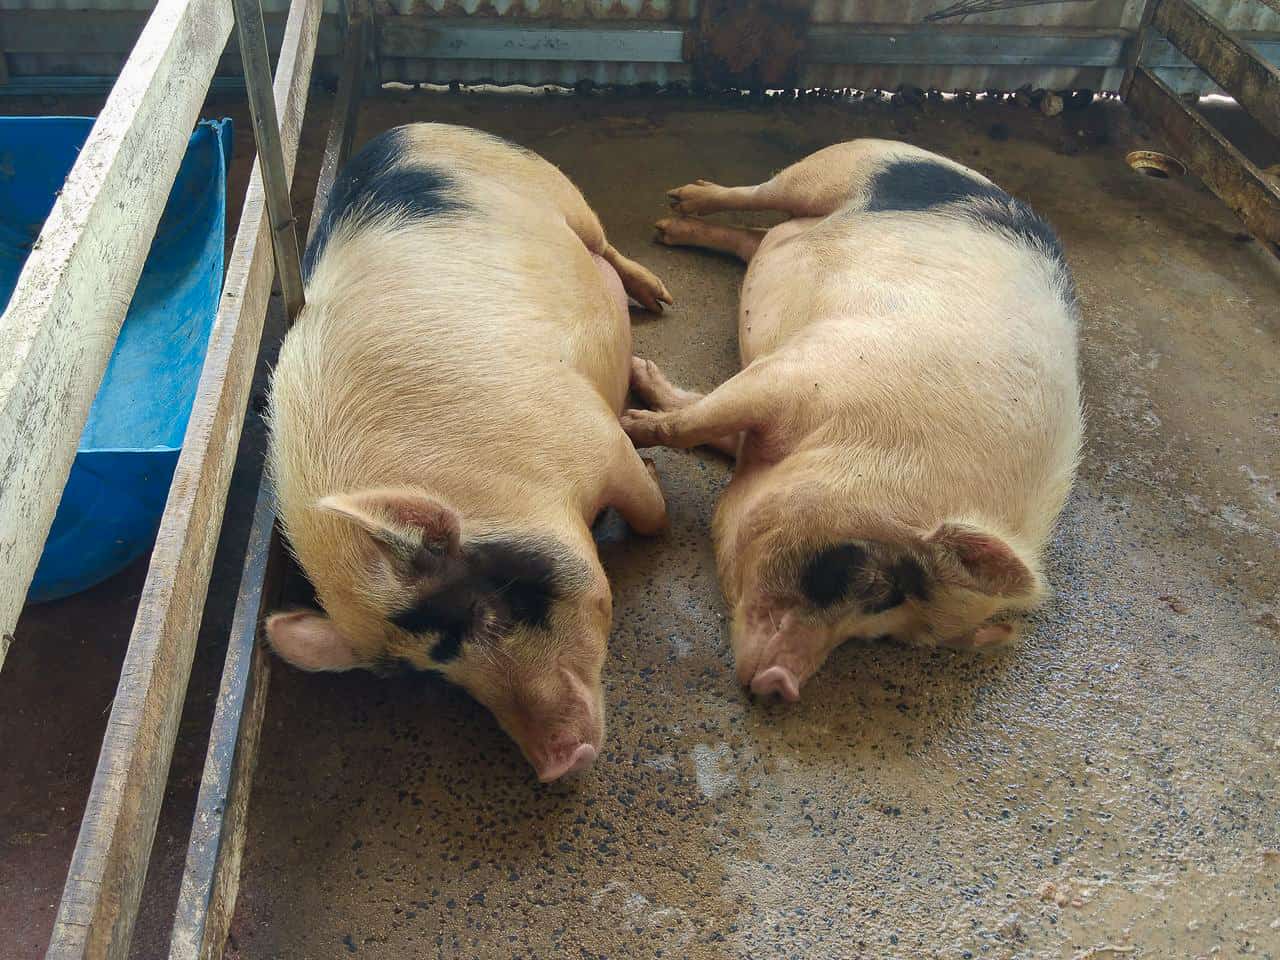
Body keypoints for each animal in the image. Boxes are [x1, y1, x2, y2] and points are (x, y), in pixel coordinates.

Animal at [266, 124, 675, 783]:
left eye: (490, 611)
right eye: (444, 678)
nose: (556, 766)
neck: (507, 489)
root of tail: (402, 130)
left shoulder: (597, 436)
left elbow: (652, 515)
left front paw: (656, 473)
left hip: (553, 185)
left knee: (604, 243)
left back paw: (660, 297)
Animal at [627, 138, 1080, 701]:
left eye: (883, 636)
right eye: (879, 585)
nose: (784, 685)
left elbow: (706, 421)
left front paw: (640, 382)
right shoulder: (794, 372)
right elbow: (693, 422)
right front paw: (628, 421)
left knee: (755, 241)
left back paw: (674, 229)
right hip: (836, 166)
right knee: (760, 194)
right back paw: (674, 212)